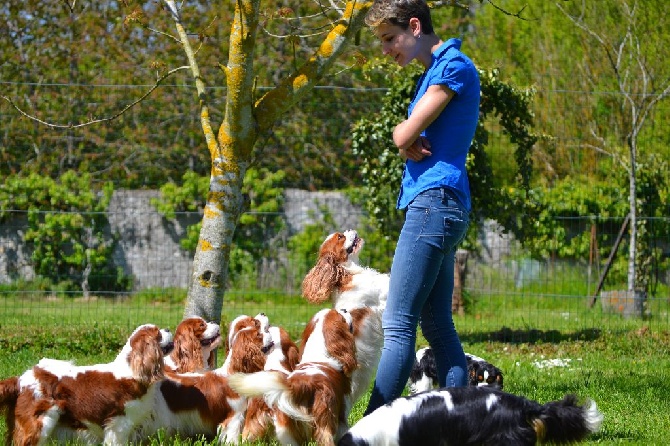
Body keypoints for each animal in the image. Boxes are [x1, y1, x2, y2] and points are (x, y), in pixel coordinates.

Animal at [4, 324, 173, 446]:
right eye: (157, 333)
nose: (168, 328)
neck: (131, 370)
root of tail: (21, 380)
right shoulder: (119, 424)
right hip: (41, 423)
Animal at [230, 308, 356, 446]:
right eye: (341, 314)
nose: (344, 309)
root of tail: (298, 385)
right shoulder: (340, 412)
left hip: (261, 427)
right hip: (323, 422)